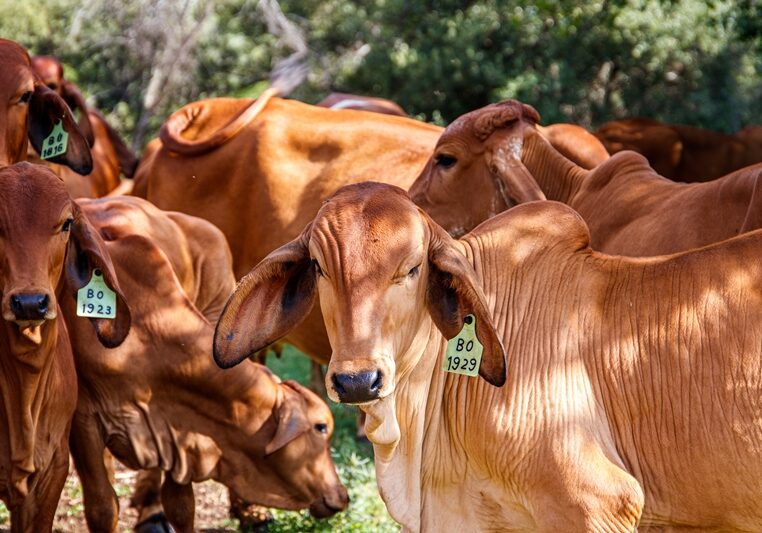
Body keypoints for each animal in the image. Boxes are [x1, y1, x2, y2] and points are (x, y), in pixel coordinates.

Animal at [64, 196, 348, 533]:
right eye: (321, 427)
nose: (342, 495)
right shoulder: (84, 420)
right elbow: (102, 506)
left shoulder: (182, 433)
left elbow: (182, 506)